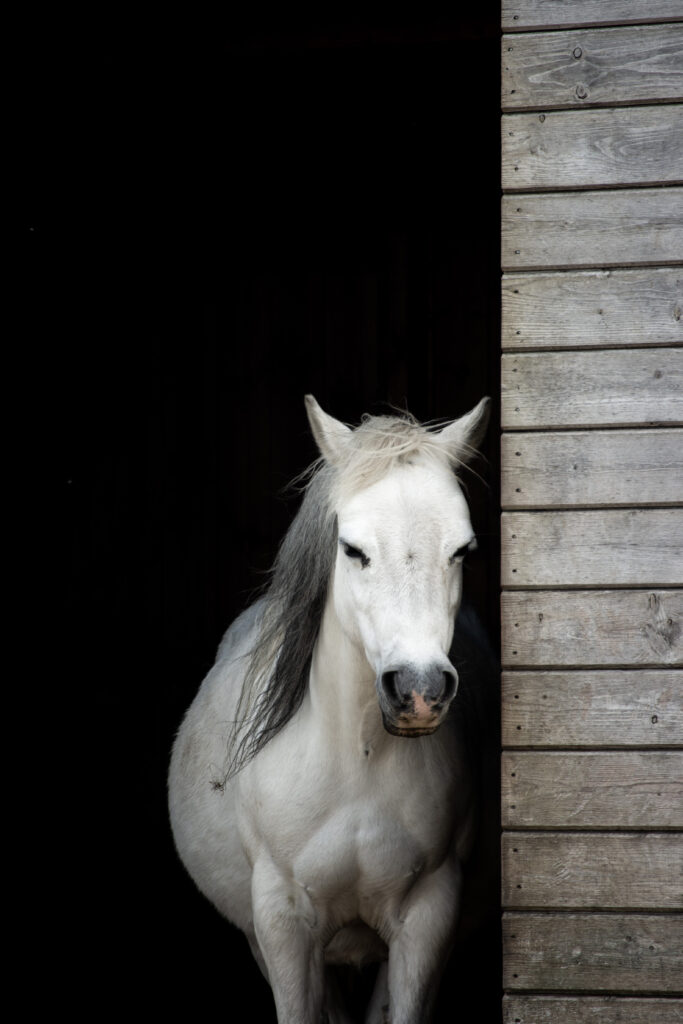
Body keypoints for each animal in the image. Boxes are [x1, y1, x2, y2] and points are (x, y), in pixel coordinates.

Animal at [168, 395, 497, 1023]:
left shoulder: (427, 918)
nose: (419, 690)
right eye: (353, 550)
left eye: (461, 550)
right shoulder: (282, 926)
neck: (359, 762)